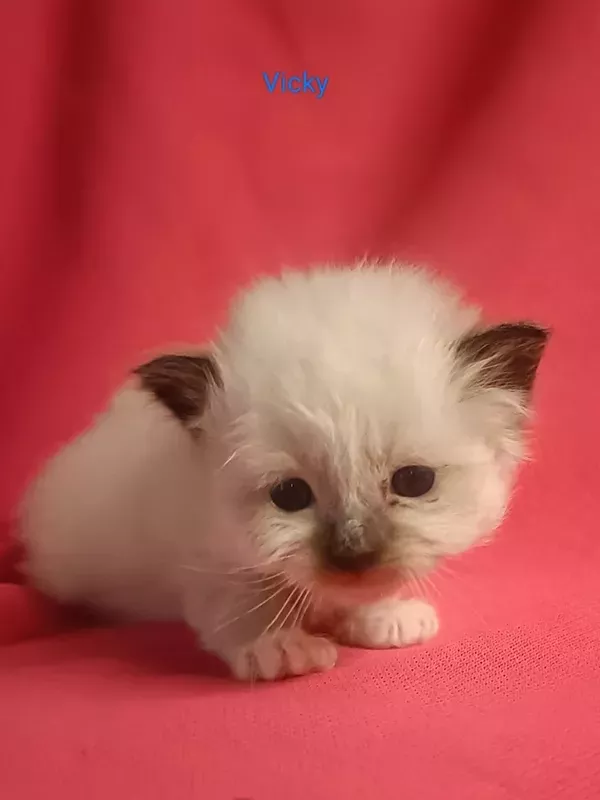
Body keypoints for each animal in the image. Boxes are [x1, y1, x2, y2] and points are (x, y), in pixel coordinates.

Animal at [21, 266, 548, 680]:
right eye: (291, 495)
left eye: (413, 482)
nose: (355, 554)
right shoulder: (210, 559)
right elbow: (245, 603)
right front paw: (277, 645)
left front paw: (381, 616)